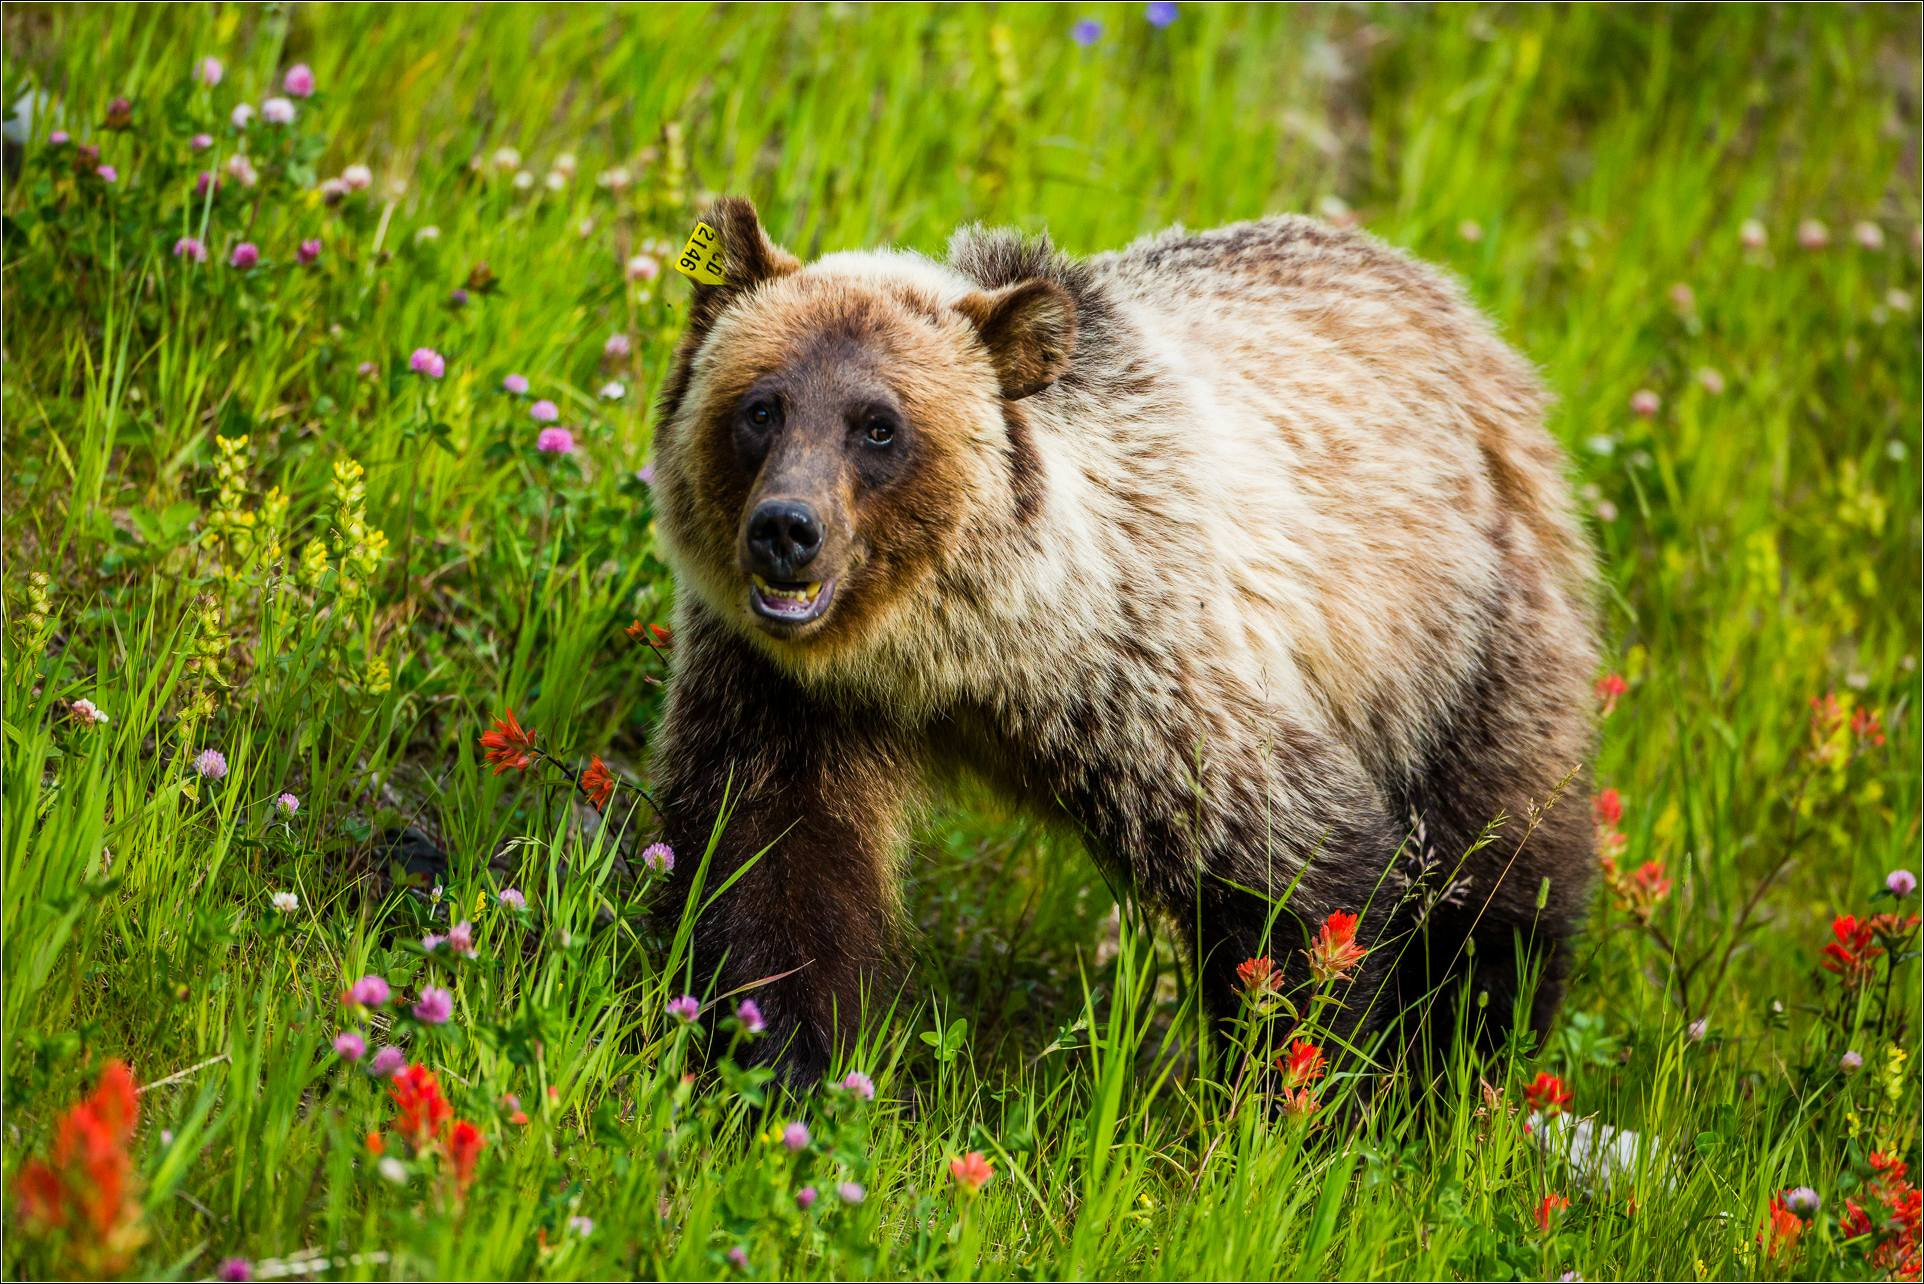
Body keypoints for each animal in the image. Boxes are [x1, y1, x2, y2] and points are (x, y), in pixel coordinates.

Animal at [646, 198, 1593, 1085]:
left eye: (878, 425)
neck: (959, 655)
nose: (786, 530)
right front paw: (779, 1058)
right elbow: (770, 863)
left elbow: (1303, 878)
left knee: (1498, 872)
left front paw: (1305, 1088)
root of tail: (1463, 311)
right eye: (760, 407)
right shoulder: (784, 691)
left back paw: (1467, 1061)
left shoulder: (1144, 679)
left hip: (1467, 640)